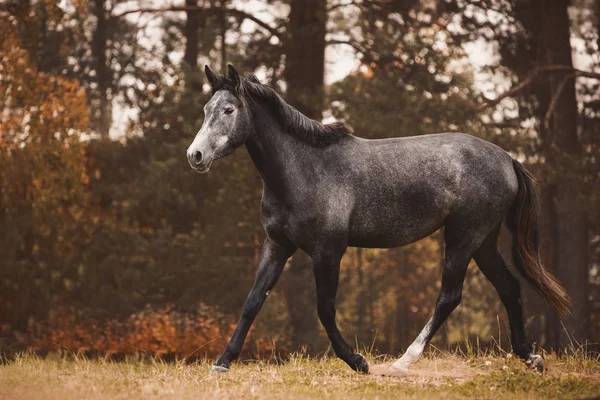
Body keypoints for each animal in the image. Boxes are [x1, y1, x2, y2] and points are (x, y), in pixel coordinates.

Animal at [185, 64, 568, 374]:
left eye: (229, 109)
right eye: (205, 110)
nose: (195, 155)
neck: (304, 170)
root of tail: (507, 159)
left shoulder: (328, 251)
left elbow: (325, 309)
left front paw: (358, 362)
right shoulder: (278, 246)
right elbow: (253, 302)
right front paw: (222, 362)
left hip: (463, 237)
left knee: (449, 296)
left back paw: (403, 362)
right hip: (483, 241)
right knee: (509, 287)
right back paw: (531, 358)